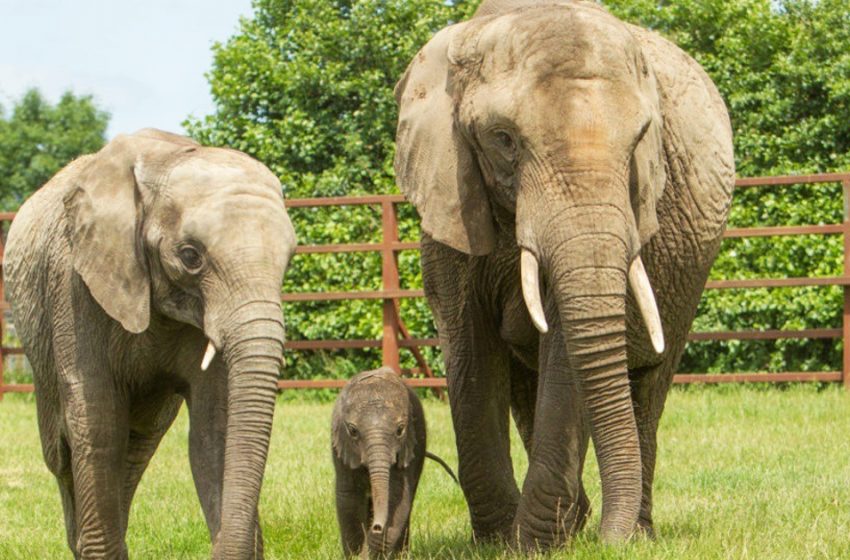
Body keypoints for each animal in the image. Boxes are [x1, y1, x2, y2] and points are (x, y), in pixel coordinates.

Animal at [4, 129, 296, 556]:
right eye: (190, 256)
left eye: (289, 259)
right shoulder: (74, 287)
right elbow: (96, 422)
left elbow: (215, 429)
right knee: (62, 450)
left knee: (138, 443)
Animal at [332, 370, 454, 556]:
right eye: (353, 431)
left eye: (400, 430)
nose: (376, 527)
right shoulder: (341, 448)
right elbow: (348, 497)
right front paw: (356, 555)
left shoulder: (408, 446)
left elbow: (398, 494)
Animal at [394, 0, 732, 552]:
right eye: (503, 140)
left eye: (641, 141)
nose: (610, 543)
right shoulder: (450, 195)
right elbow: (469, 350)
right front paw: (500, 542)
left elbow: (567, 354)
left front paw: (530, 544)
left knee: (647, 388)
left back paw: (631, 531)